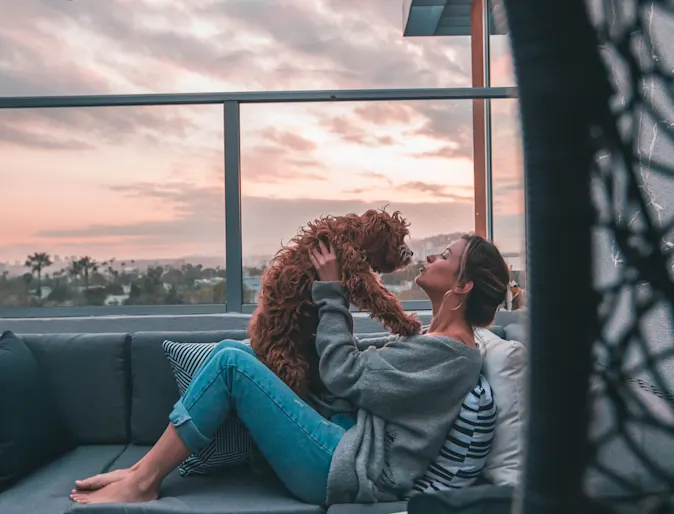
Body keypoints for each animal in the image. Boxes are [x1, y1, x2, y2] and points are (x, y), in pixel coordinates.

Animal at [248, 207, 420, 396]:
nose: (411, 253)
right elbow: (381, 298)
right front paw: (407, 323)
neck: (353, 236)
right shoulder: (356, 275)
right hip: (288, 362)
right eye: (398, 237)